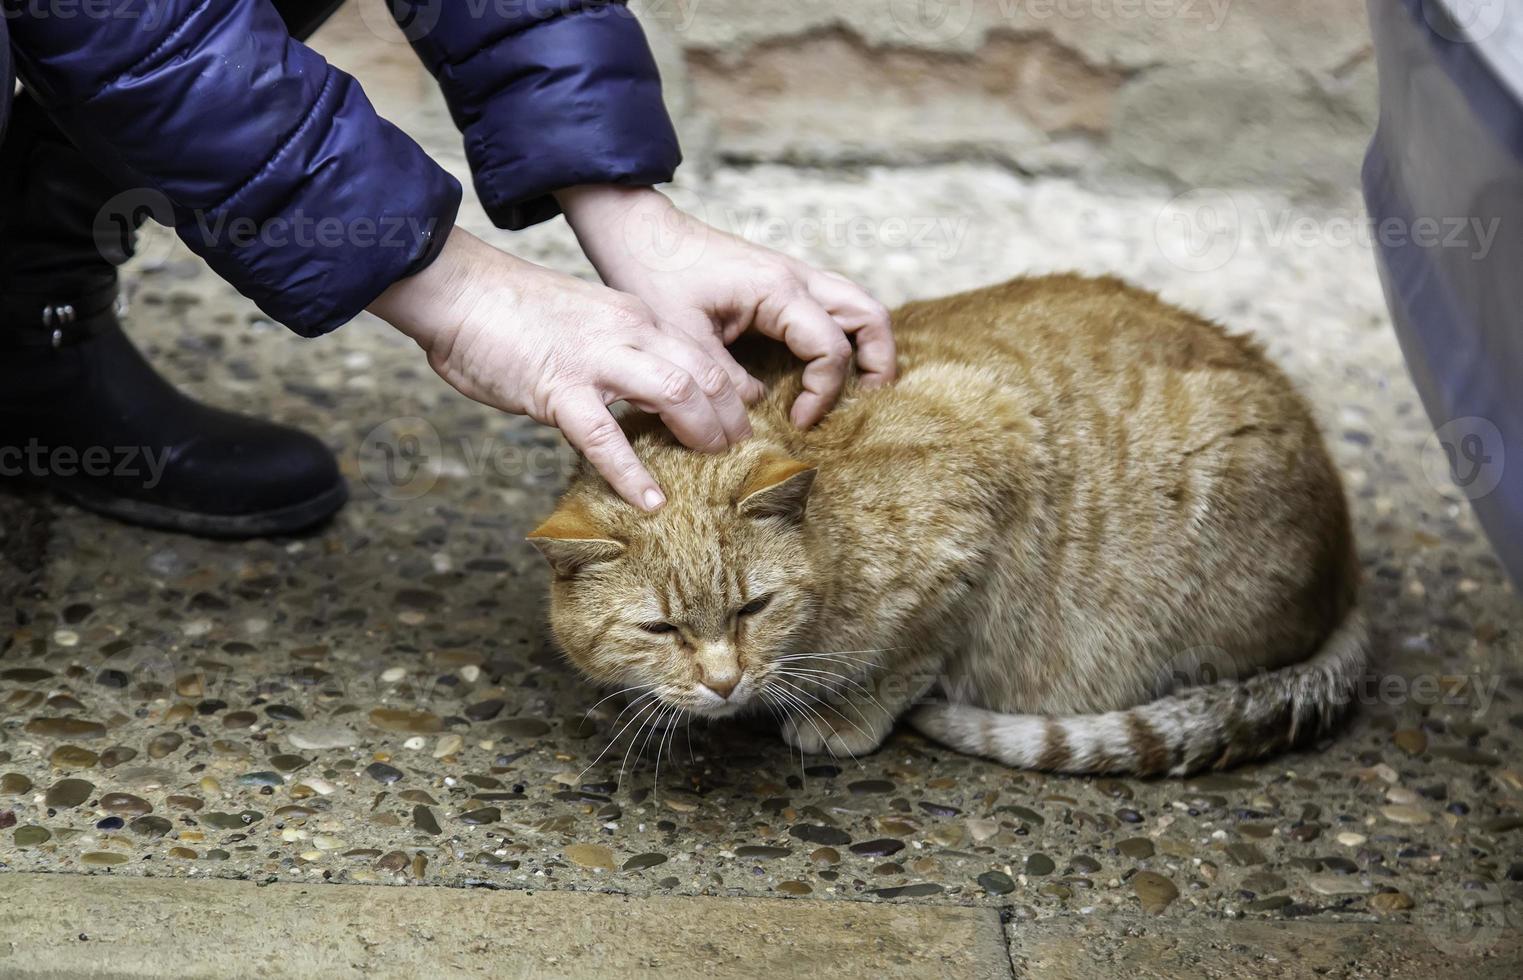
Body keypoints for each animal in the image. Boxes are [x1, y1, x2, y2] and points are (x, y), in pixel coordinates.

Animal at [530, 274, 1364, 774]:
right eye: (660, 629)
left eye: (753, 608)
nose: (725, 683)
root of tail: (1347, 562)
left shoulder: (985, 480)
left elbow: (913, 653)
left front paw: (846, 714)